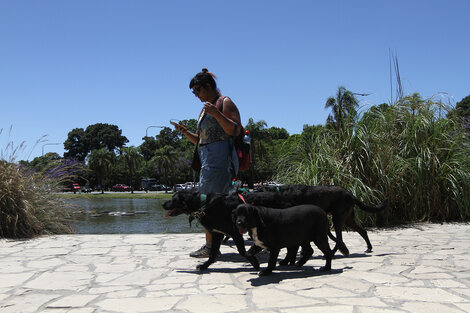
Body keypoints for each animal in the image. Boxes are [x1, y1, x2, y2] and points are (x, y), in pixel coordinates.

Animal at [258, 184, 386, 255]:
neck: (280, 194)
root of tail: (349, 193)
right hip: (348, 219)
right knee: (362, 231)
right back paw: (368, 248)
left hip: (338, 219)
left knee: (340, 238)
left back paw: (334, 252)